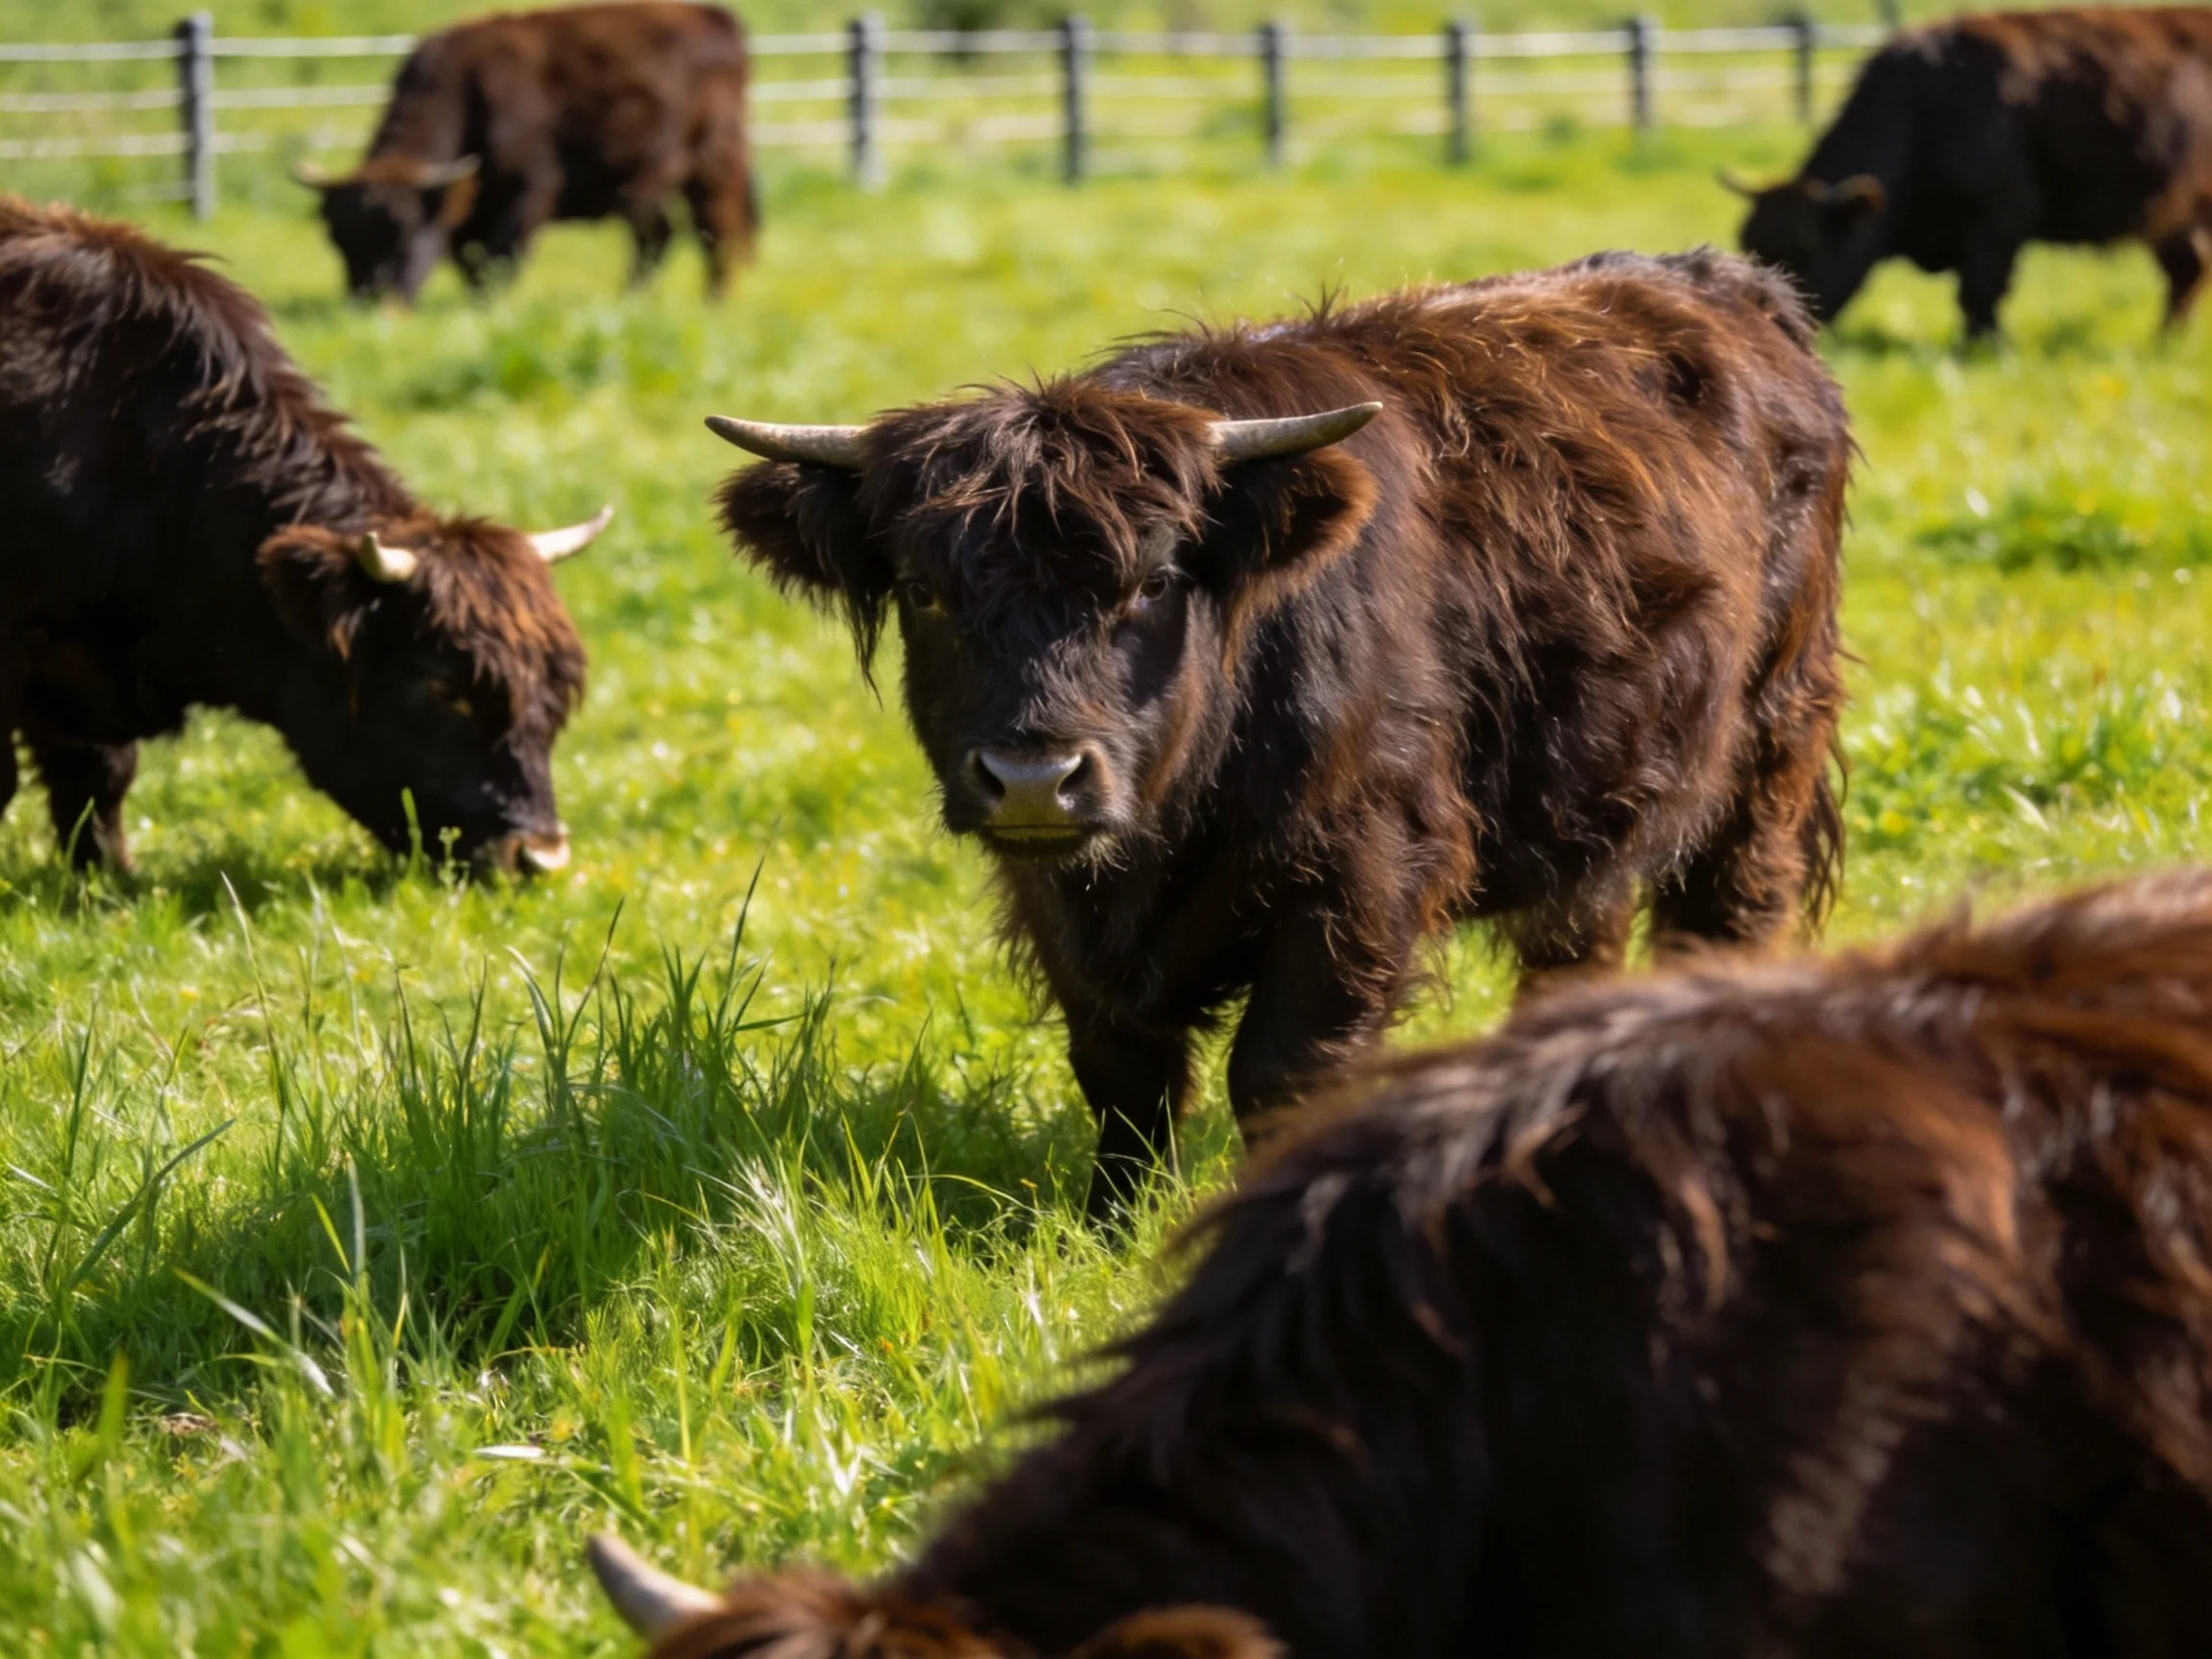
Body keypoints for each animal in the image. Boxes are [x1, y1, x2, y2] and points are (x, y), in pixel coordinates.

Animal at [294, 2, 758, 303]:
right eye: (336, 237)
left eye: (404, 234)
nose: (370, 304)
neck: (467, 92)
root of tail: (715, 16)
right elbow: (472, 262)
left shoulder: (530, 189)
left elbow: (502, 259)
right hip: (645, 183)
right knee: (657, 237)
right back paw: (631, 300)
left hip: (711, 165)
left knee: (719, 233)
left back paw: (715, 301)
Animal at [705, 249, 1851, 1218]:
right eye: (926, 591)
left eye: (1156, 580)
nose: (1035, 775)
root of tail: (1724, 281)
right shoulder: (1054, 896)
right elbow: (1120, 1068)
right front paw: (1109, 1222)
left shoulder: (1365, 862)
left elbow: (1285, 1071)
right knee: (1581, 936)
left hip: (1770, 742)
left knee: (1731, 910)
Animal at [1727, 7, 2212, 339]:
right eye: (1748, 241)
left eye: (1806, 249)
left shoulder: (1998, 221)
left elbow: (1979, 292)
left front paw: (1987, 347)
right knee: (2187, 267)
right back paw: (2166, 340)